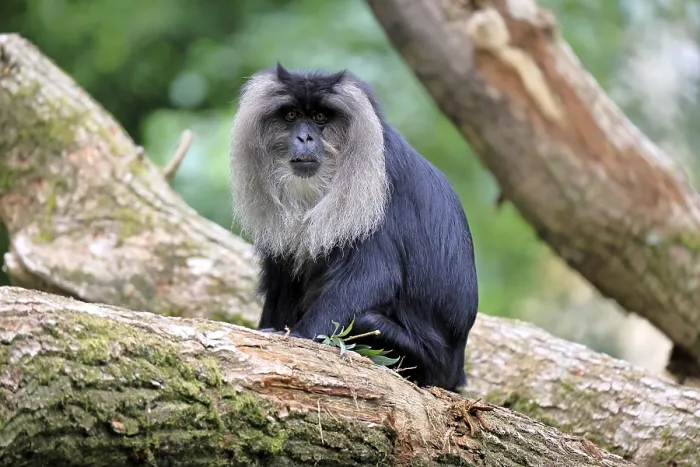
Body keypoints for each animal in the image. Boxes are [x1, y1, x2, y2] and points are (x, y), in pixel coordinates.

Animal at [228, 63, 478, 392]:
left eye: (320, 117)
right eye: (292, 116)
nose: (305, 138)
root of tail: (455, 372)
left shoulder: (378, 185)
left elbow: (372, 277)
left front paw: (294, 336)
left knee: (365, 321)